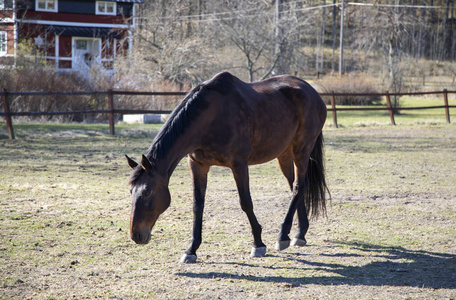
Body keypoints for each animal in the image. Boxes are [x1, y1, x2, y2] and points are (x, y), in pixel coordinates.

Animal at [126, 72, 330, 262]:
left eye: (147, 192)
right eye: (131, 192)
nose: (136, 235)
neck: (210, 118)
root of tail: (311, 91)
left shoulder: (239, 164)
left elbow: (246, 202)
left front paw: (258, 244)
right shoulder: (198, 165)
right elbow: (197, 206)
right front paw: (191, 250)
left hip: (302, 149)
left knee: (298, 186)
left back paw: (282, 236)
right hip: (285, 154)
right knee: (296, 186)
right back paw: (299, 234)